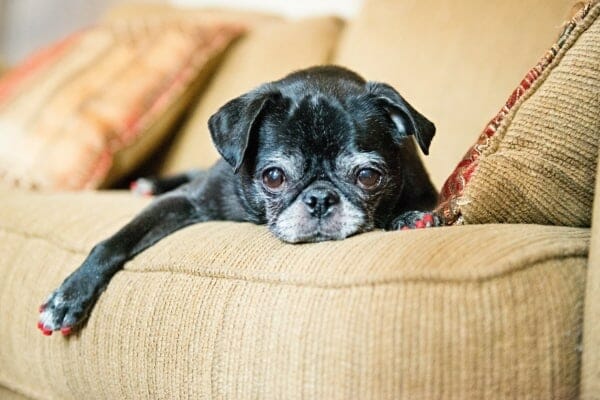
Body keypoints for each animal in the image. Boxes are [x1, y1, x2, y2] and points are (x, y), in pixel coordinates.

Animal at [38, 67, 440, 336]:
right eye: (274, 177)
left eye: (368, 176)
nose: (320, 198)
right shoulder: (185, 201)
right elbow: (115, 242)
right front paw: (69, 296)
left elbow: (418, 208)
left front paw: (408, 218)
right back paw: (150, 183)